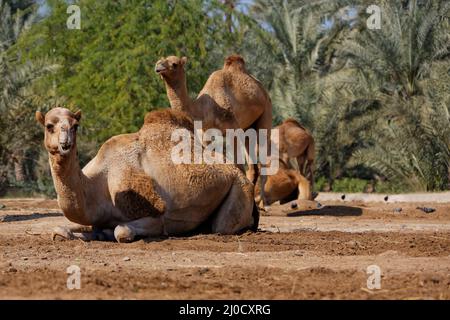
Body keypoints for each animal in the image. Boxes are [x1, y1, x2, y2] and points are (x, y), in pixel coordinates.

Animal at [35, 106, 258, 241]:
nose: (65, 144)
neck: (97, 186)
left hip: (240, 186)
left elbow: (121, 230)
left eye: (75, 126)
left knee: (223, 226)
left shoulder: (156, 216)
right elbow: (60, 229)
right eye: (49, 126)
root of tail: (235, 169)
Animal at [155, 54, 272, 206]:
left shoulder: (232, 130)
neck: (205, 110)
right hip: (248, 127)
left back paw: (262, 204)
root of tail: (261, 87)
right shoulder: (205, 137)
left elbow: (238, 165)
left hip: (266, 113)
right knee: (253, 166)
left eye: (174, 64)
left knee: (263, 158)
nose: (158, 66)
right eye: (160, 59)